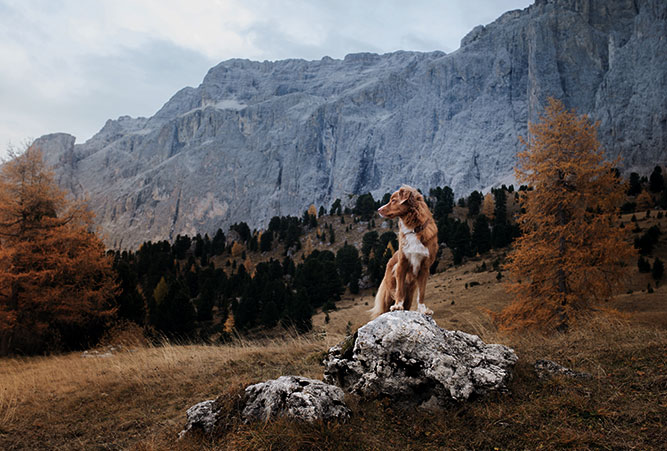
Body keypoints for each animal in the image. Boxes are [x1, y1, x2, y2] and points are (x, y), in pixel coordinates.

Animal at [370, 185, 438, 320]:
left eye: (393, 200)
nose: (378, 209)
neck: (414, 229)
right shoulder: (402, 264)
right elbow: (399, 290)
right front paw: (397, 306)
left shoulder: (425, 267)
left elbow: (422, 293)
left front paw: (423, 310)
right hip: (388, 293)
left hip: (410, 295)